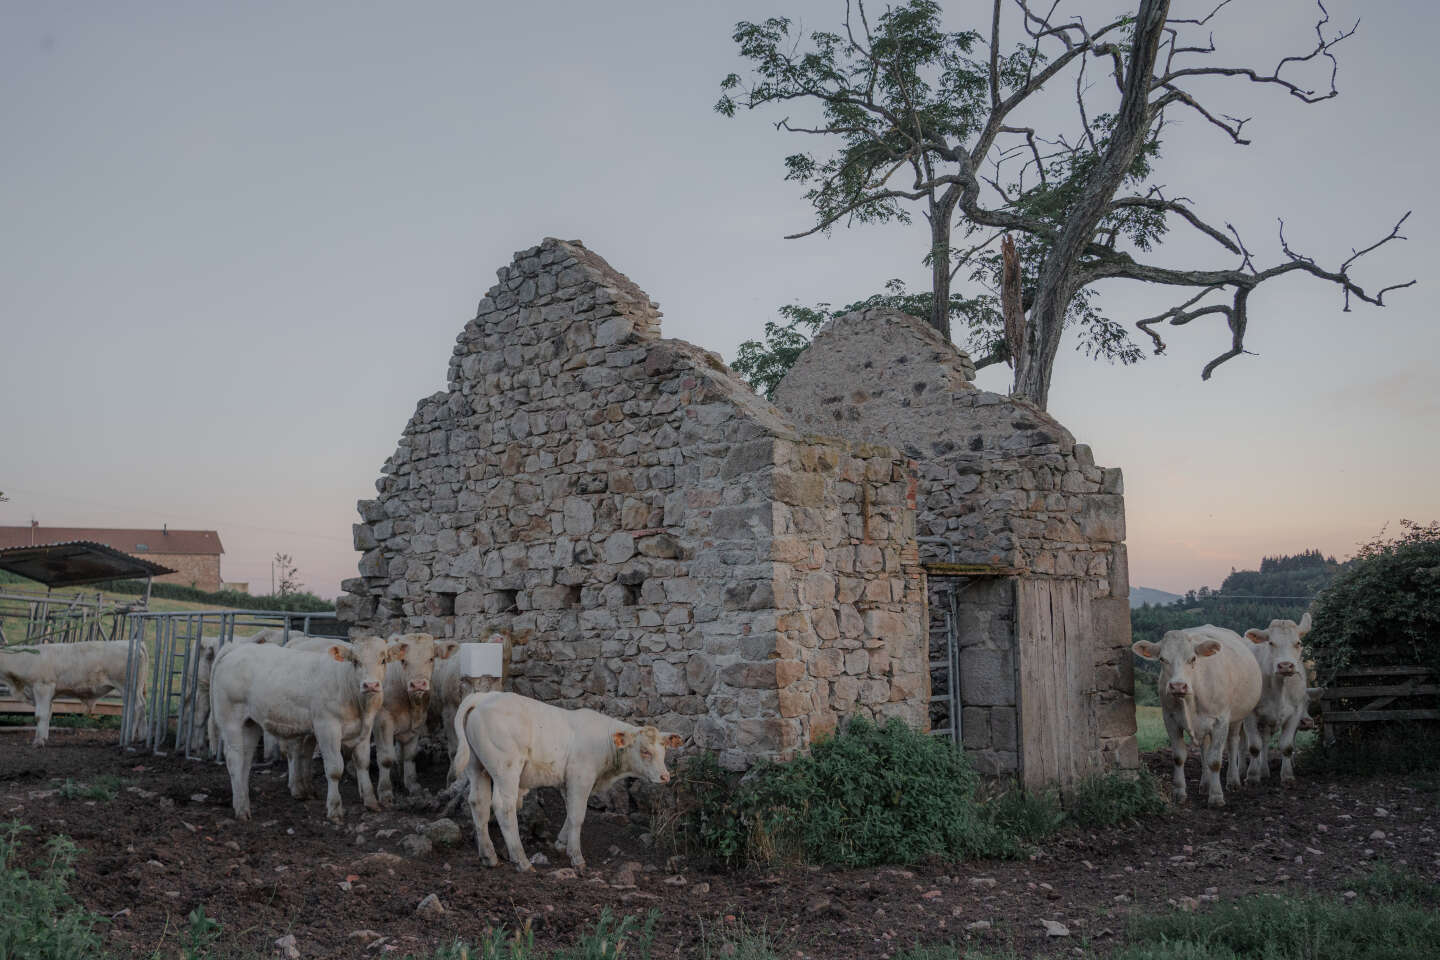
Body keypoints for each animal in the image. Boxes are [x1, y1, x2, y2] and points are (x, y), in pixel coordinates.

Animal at [208, 633, 403, 823]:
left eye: (383, 660)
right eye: (355, 661)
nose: (370, 685)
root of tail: (235, 648)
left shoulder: (365, 729)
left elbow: (363, 763)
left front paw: (371, 802)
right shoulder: (327, 726)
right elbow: (334, 769)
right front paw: (334, 809)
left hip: (250, 723)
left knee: (246, 759)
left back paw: (242, 801)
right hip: (230, 719)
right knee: (234, 758)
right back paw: (241, 809)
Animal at [286, 639, 455, 805]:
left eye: (431, 659)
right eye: (403, 660)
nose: (418, 684)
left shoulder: (415, 724)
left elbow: (409, 756)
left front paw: (411, 785)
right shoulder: (383, 721)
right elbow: (386, 758)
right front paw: (385, 792)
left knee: (306, 750)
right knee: (294, 750)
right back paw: (296, 787)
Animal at [446, 693, 676, 875]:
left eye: (664, 750)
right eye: (645, 751)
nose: (665, 776)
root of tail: (483, 696)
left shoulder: (568, 782)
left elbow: (569, 811)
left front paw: (561, 842)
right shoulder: (581, 777)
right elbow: (577, 815)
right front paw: (576, 857)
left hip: (476, 766)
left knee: (478, 803)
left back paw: (488, 856)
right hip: (506, 769)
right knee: (504, 807)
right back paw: (522, 861)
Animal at [1128, 627, 1255, 805]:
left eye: (1193, 658)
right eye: (1162, 659)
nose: (1178, 686)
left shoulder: (1221, 721)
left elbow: (1215, 760)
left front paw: (1216, 796)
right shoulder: (1170, 719)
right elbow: (1179, 757)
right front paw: (1179, 792)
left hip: (1237, 717)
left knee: (1232, 744)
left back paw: (1233, 781)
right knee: (1204, 750)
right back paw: (1205, 784)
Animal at [1249, 613, 1319, 782]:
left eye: (1298, 643)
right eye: (1271, 642)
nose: (1286, 665)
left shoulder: (1295, 713)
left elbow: (1286, 746)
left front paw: (1287, 776)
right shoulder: (1250, 715)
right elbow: (1254, 746)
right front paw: (1252, 776)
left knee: (1265, 740)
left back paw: (1264, 770)